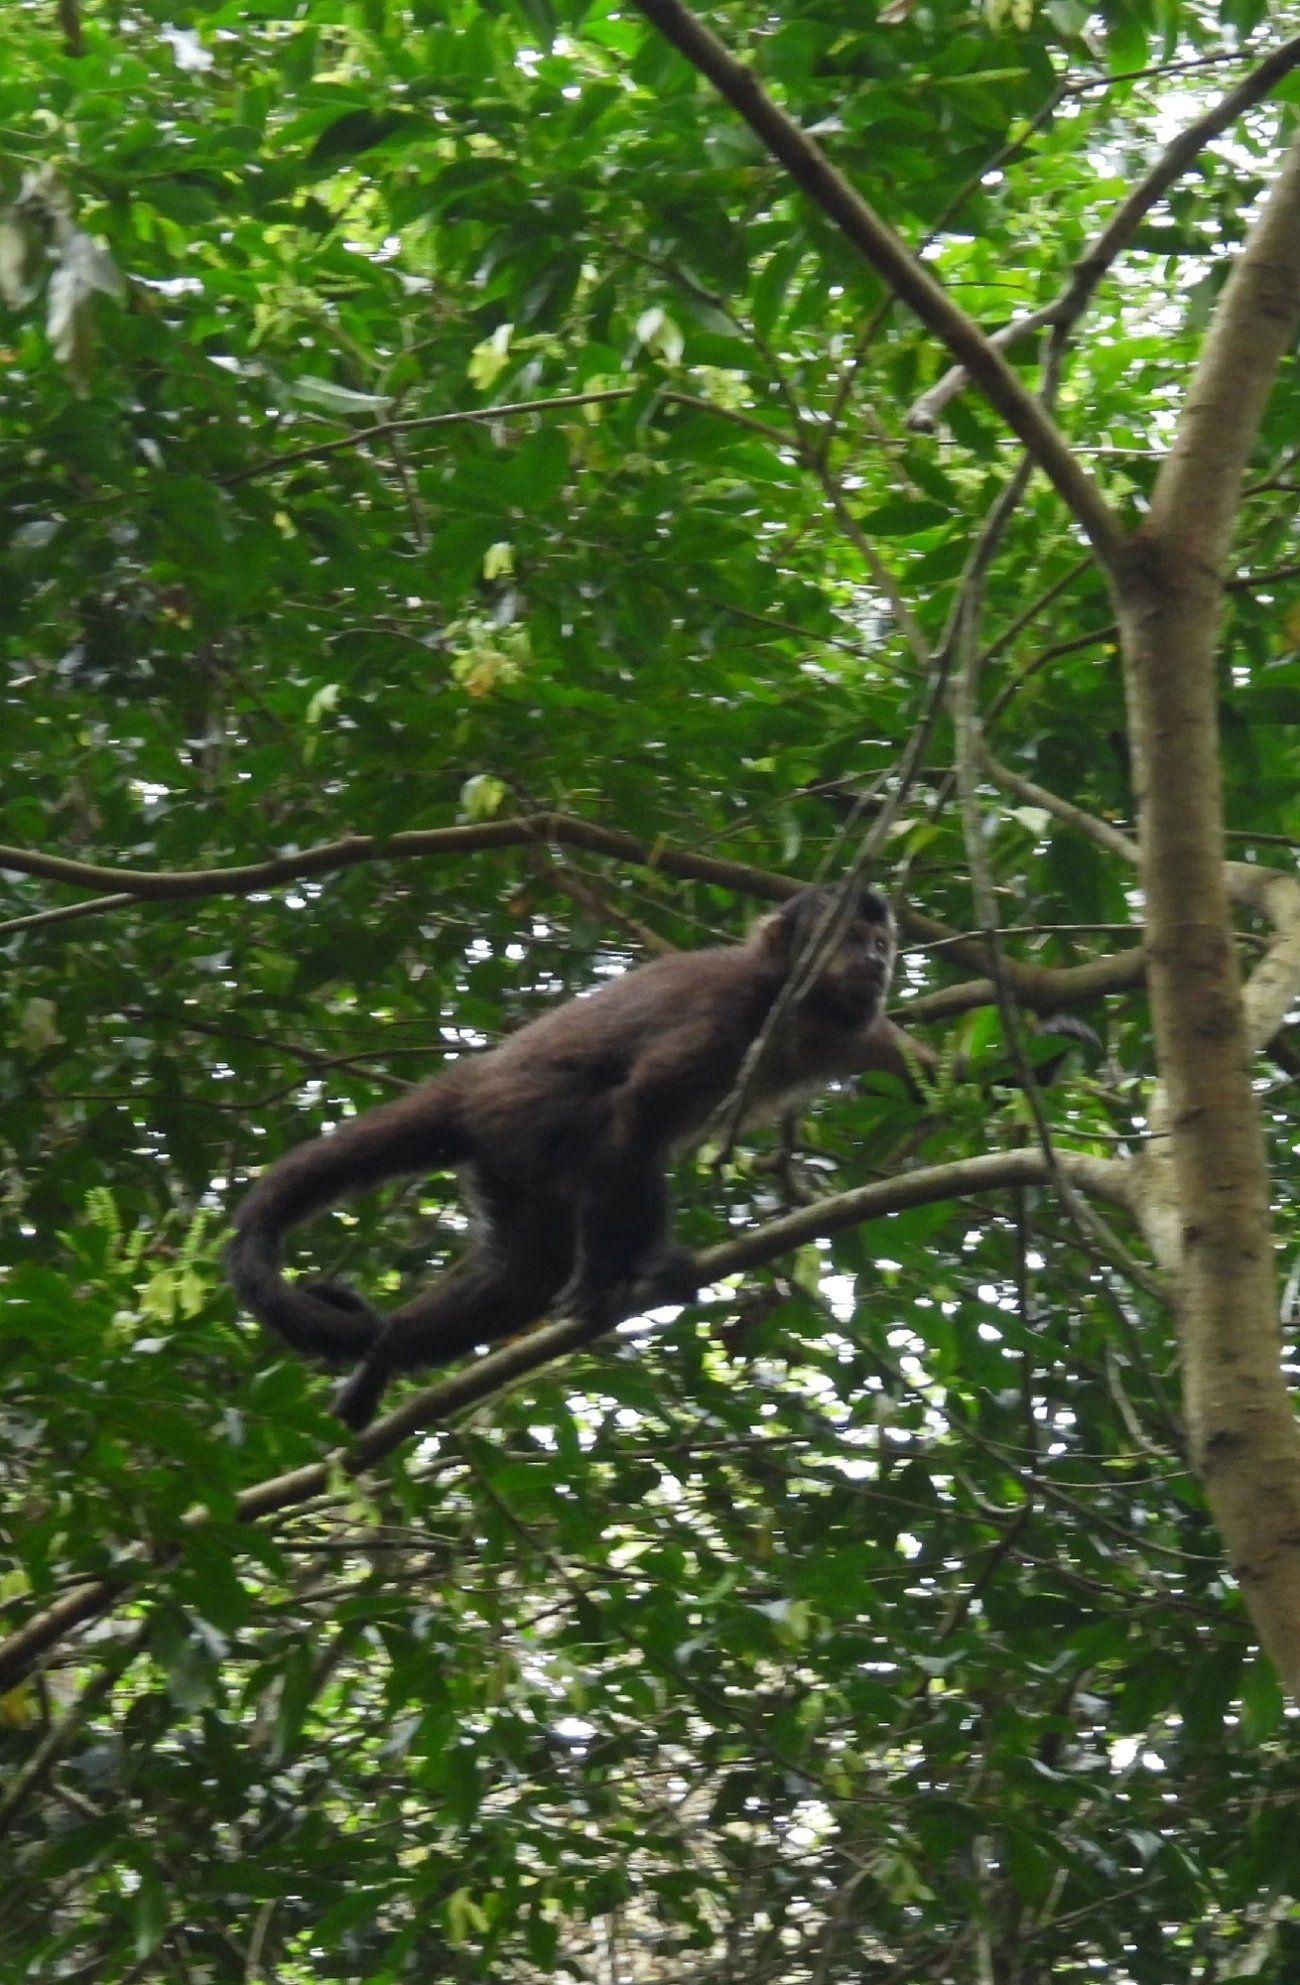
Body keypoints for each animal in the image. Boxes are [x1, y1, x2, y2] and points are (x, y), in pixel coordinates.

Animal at [227, 886, 909, 1432]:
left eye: (879, 941)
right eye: (851, 938)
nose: (877, 959)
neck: (790, 999)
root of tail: (478, 1079)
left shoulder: (855, 1027)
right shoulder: (734, 1012)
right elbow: (639, 1112)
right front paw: (614, 1273)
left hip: (504, 1156)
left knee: (522, 1278)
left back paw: (389, 1348)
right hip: (520, 1114)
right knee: (603, 1117)